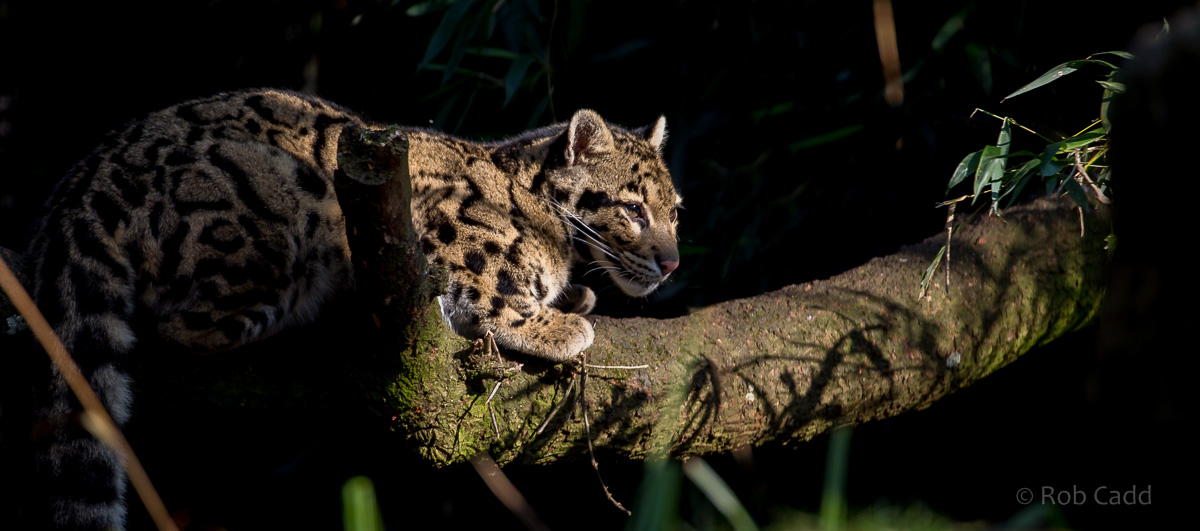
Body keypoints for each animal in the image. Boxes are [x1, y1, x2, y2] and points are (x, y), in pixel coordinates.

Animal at [19, 88, 681, 529]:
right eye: (633, 209)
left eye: (675, 210)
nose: (673, 262)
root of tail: (80, 184)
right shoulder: (444, 238)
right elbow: (493, 295)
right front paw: (562, 323)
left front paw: (575, 297)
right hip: (276, 221)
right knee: (180, 326)